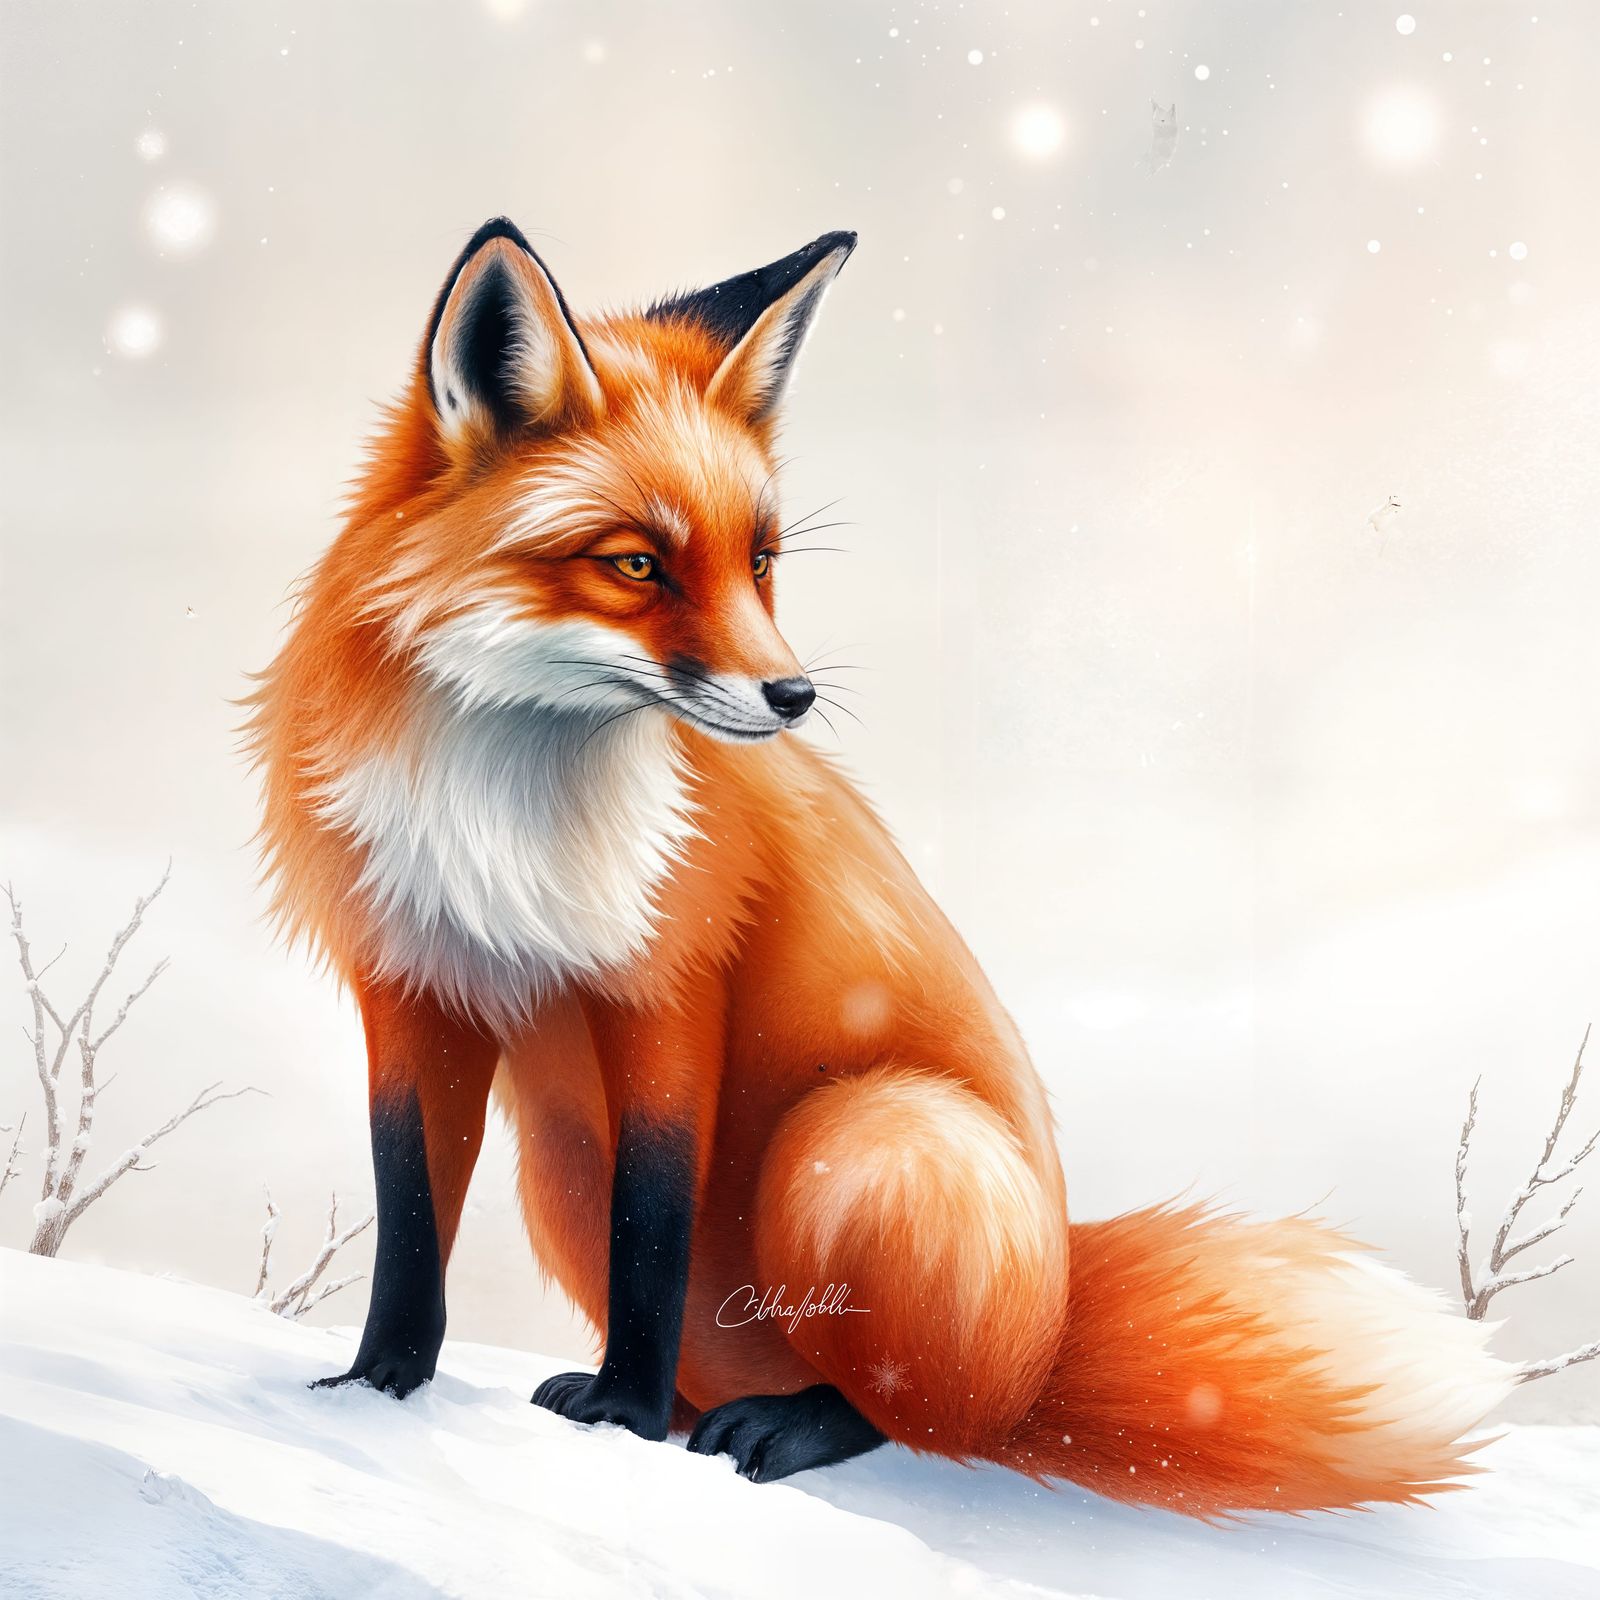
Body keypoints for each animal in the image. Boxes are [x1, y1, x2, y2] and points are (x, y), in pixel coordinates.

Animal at [249, 218, 1511, 1515]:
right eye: (638, 565)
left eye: (760, 559)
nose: (792, 694)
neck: (505, 820)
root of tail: (1048, 1343)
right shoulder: (412, 987)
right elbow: (411, 1219)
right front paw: (378, 1385)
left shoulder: (670, 989)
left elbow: (651, 1230)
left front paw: (621, 1417)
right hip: (559, 1168)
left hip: (857, 1136)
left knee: (922, 1418)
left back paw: (778, 1421)